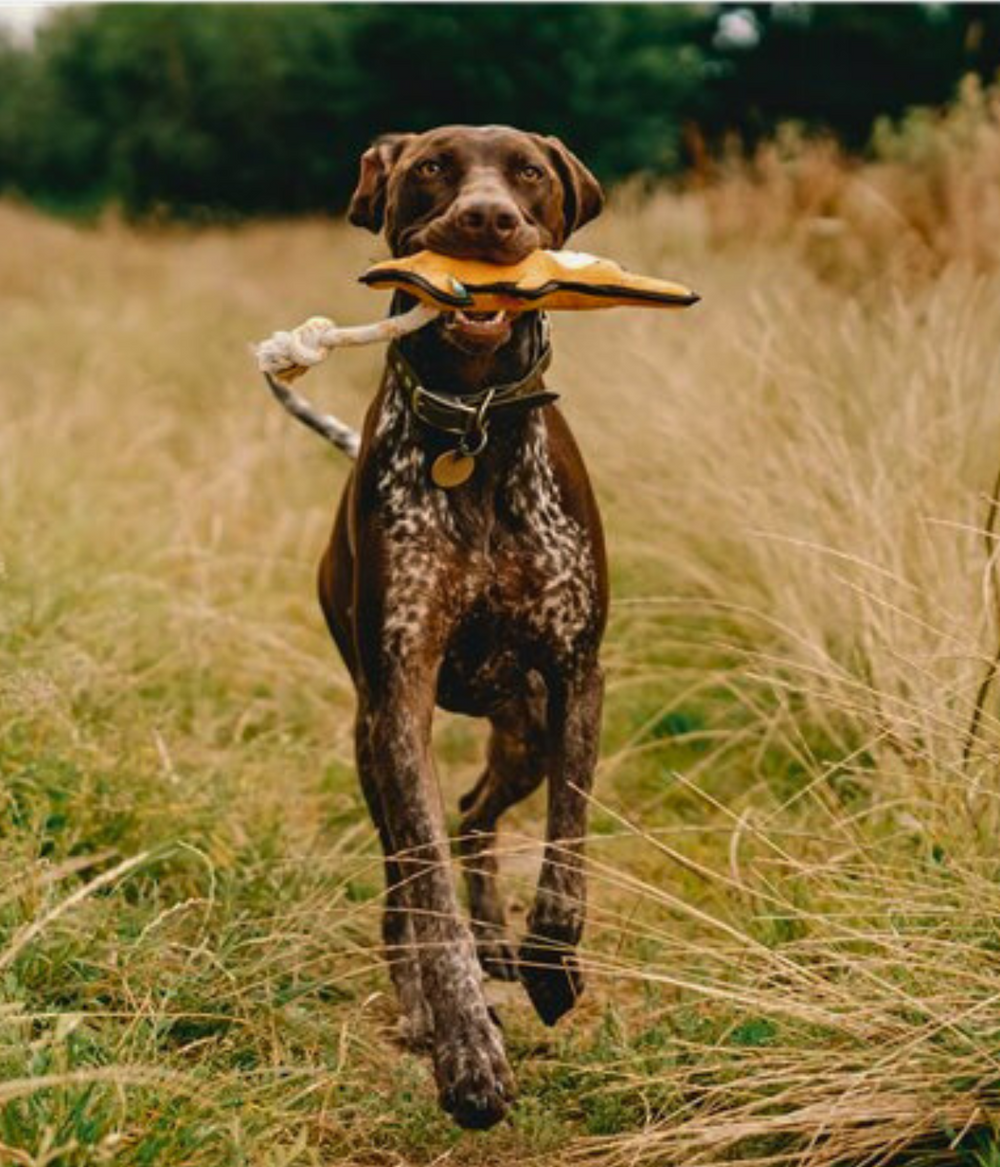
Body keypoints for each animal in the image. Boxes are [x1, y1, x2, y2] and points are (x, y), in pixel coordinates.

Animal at [315, 127, 606, 1129]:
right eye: (433, 167)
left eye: (528, 173)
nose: (487, 219)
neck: (472, 426)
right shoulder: (399, 697)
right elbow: (428, 893)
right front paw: (466, 1050)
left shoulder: (578, 671)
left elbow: (565, 856)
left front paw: (551, 966)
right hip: (372, 740)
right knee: (408, 879)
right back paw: (432, 996)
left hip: (524, 727)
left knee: (480, 816)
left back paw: (501, 945)